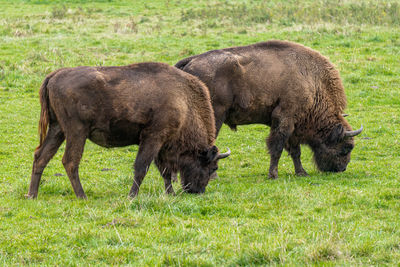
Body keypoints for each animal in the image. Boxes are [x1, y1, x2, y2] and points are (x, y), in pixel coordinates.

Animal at [26, 62, 230, 199]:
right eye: (213, 167)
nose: (197, 191)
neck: (184, 101)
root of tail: (55, 75)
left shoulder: (161, 144)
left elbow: (164, 171)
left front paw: (170, 194)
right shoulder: (153, 137)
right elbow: (142, 167)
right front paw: (132, 196)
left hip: (57, 129)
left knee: (41, 156)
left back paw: (32, 195)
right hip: (76, 131)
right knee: (70, 161)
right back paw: (82, 195)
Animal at [175, 40, 362, 180]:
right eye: (345, 148)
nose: (342, 168)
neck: (311, 81)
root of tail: (190, 62)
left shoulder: (293, 125)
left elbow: (295, 151)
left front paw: (301, 173)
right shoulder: (285, 118)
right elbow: (277, 147)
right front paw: (273, 174)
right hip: (215, 116)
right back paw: (212, 177)